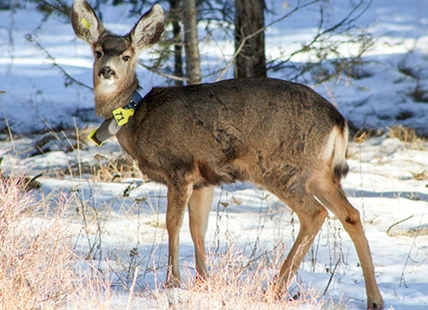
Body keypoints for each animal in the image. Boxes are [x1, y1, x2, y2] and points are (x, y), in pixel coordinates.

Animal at [71, 1, 384, 308]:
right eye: (98, 52)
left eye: (126, 56)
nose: (106, 71)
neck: (137, 121)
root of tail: (339, 121)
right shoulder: (203, 180)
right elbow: (198, 227)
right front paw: (202, 281)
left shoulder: (180, 168)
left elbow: (173, 223)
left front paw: (173, 283)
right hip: (320, 173)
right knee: (351, 214)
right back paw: (374, 299)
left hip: (279, 168)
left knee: (315, 213)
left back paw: (274, 289)